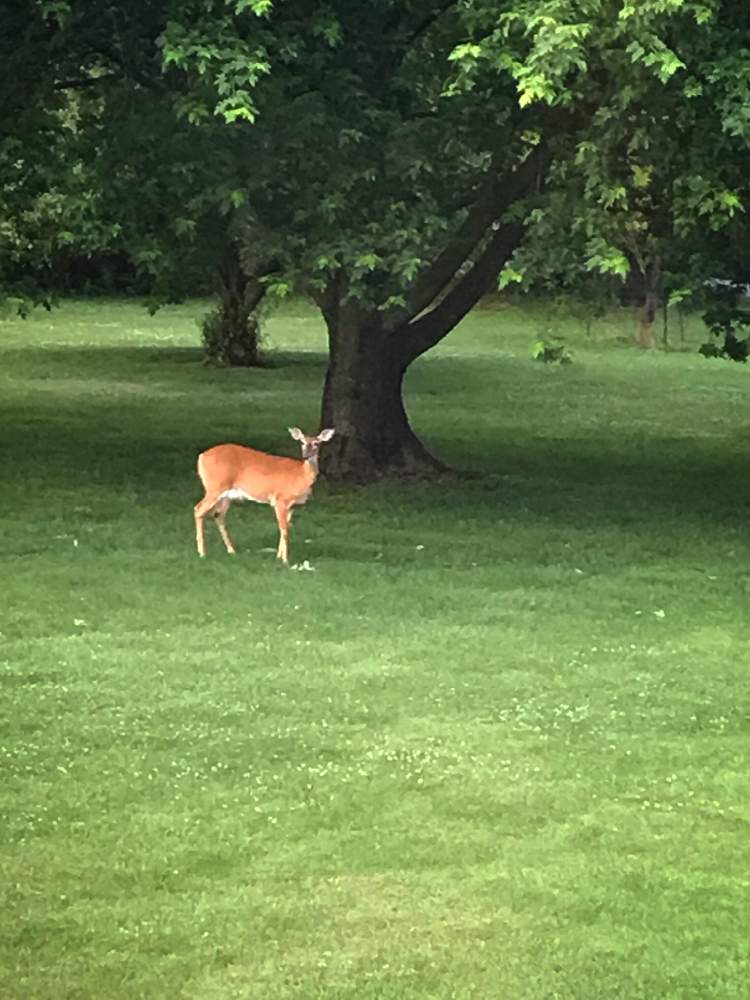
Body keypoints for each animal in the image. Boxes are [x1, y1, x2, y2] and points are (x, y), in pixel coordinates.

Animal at [195, 426, 336, 564]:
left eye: (316, 443)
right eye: (302, 442)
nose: (306, 456)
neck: (301, 475)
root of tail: (201, 456)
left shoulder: (292, 506)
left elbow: (286, 527)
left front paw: (278, 557)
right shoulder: (280, 500)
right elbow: (284, 529)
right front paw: (285, 561)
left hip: (226, 495)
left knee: (218, 515)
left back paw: (231, 551)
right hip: (215, 487)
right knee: (198, 509)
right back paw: (202, 553)